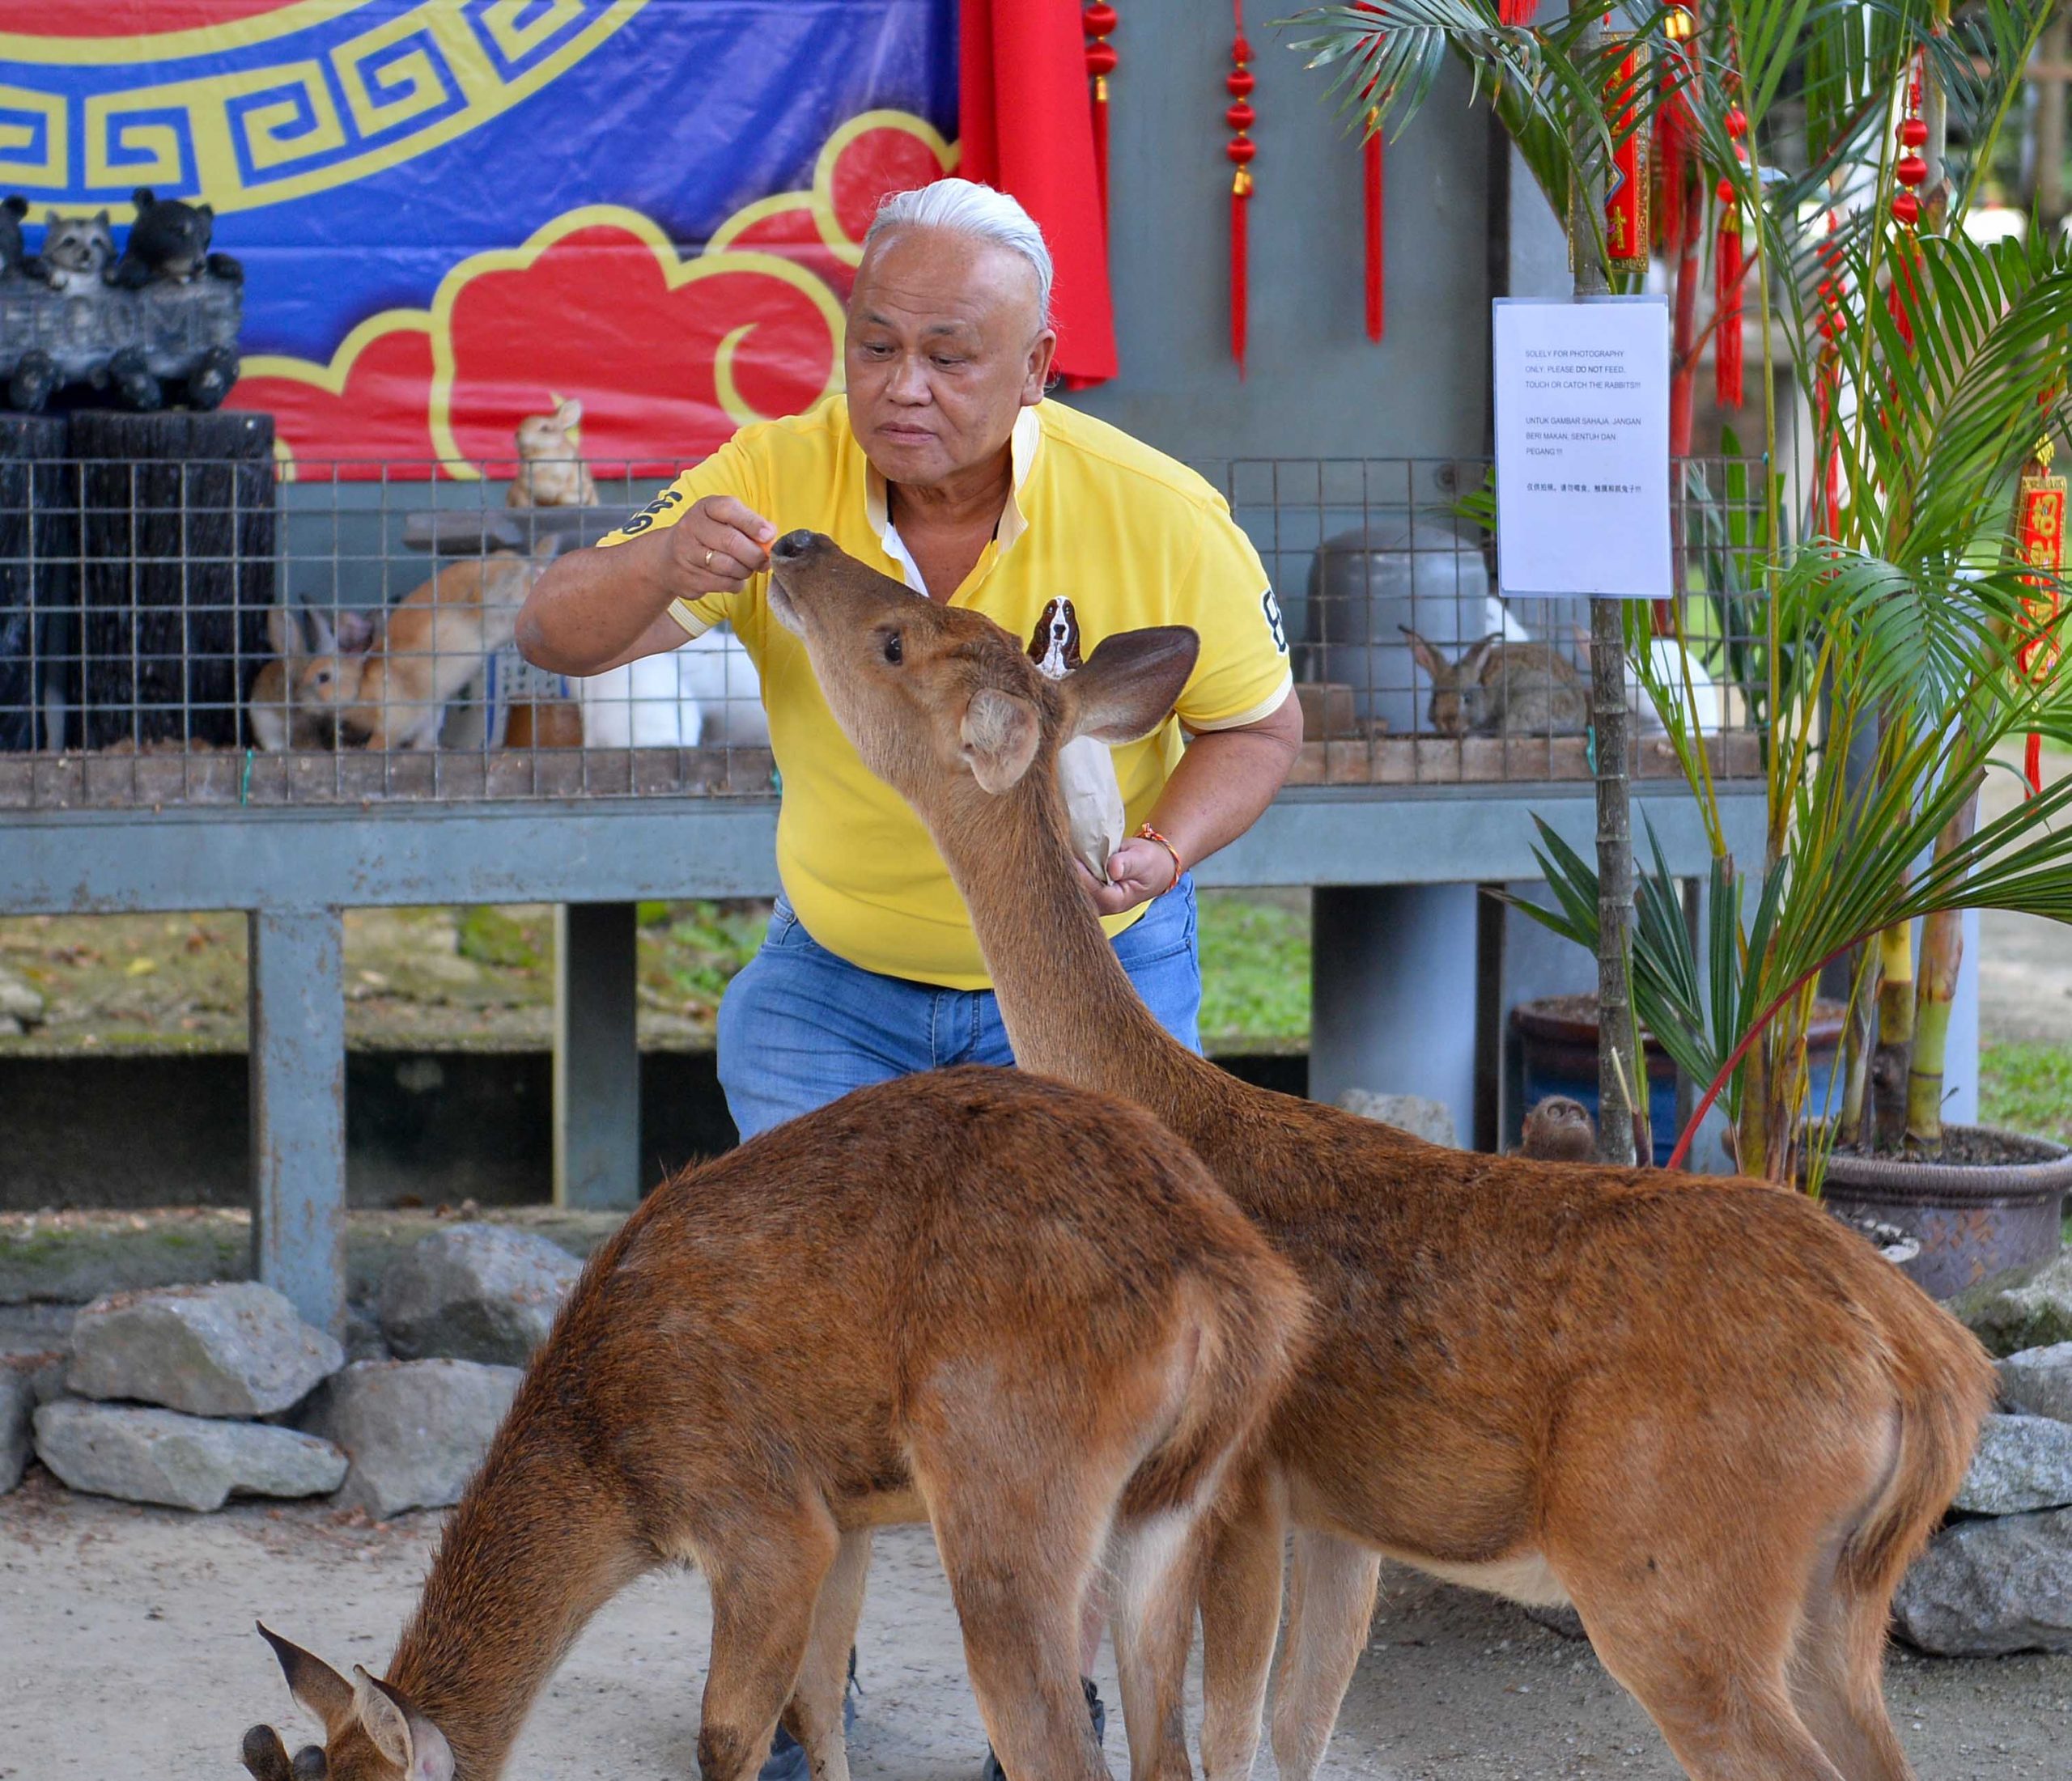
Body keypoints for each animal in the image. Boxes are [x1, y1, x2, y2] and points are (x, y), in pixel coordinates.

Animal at [235, 1060, 1301, 1781]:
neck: (610, 1468)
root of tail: (1234, 1280)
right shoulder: (847, 1513)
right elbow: (817, 1711)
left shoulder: (761, 1514)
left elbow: (726, 1733)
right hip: (1172, 1506)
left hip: (1011, 1474)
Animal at [300, 534, 555, 745]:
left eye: (323, 677)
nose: (300, 703)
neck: (362, 686)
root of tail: (518, 564)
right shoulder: (429, 718)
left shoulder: (393, 723)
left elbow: (382, 742)